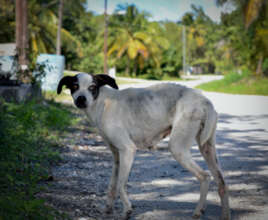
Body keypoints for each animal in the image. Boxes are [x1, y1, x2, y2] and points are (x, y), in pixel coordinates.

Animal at [57, 73, 231, 219]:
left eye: (92, 87)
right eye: (74, 86)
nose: (81, 99)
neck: (103, 103)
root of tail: (204, 101)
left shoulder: (127, 150)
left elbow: (121, 185)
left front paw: (127, 210)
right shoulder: (117, 156)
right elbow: (112, 186)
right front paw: (107, 209)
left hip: (178, 148)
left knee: (205, 176)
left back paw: (198, 211)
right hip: (208, 148)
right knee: (222, 184)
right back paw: (224, 215)